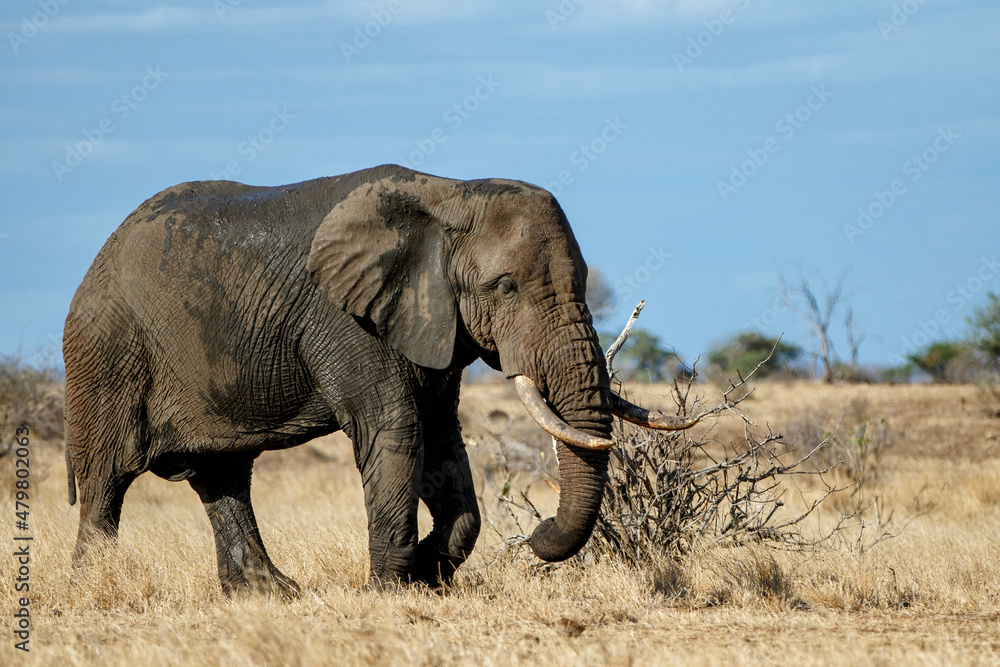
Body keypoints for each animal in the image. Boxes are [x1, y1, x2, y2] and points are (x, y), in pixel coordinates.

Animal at [63, 164, 687, 597]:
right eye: (506, 286)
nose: (536, 536)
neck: (449, 193)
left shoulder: (431, 322)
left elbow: (441, 439)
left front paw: (430, 575)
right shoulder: (346, 317)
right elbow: (395, 429)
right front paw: (391, 589)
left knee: (223, 477)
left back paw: (271, 595)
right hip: (105, 353)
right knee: (105, 482)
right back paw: (96, 589)